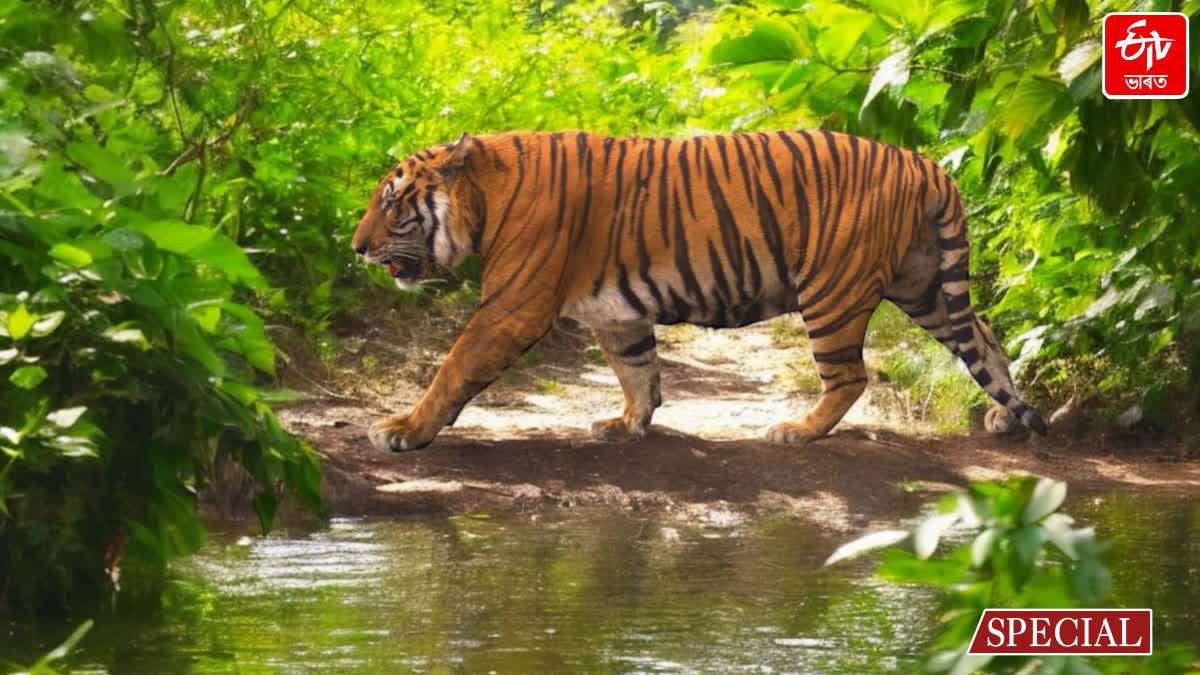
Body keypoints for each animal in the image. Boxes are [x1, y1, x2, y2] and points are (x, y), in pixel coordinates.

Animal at [350, 130, 1047, 451]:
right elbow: (637, 370)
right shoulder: (617, 314)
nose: (355, 247)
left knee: (851, 376)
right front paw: (628, 422)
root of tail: (928, 165)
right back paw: (1004, 417)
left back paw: (797, 429)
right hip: (924, 284)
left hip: (833, 289)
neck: (486, 195)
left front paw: (403, 429)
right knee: (985, 339)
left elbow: (454, 366)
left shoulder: (512, 306)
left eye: (391, 202)